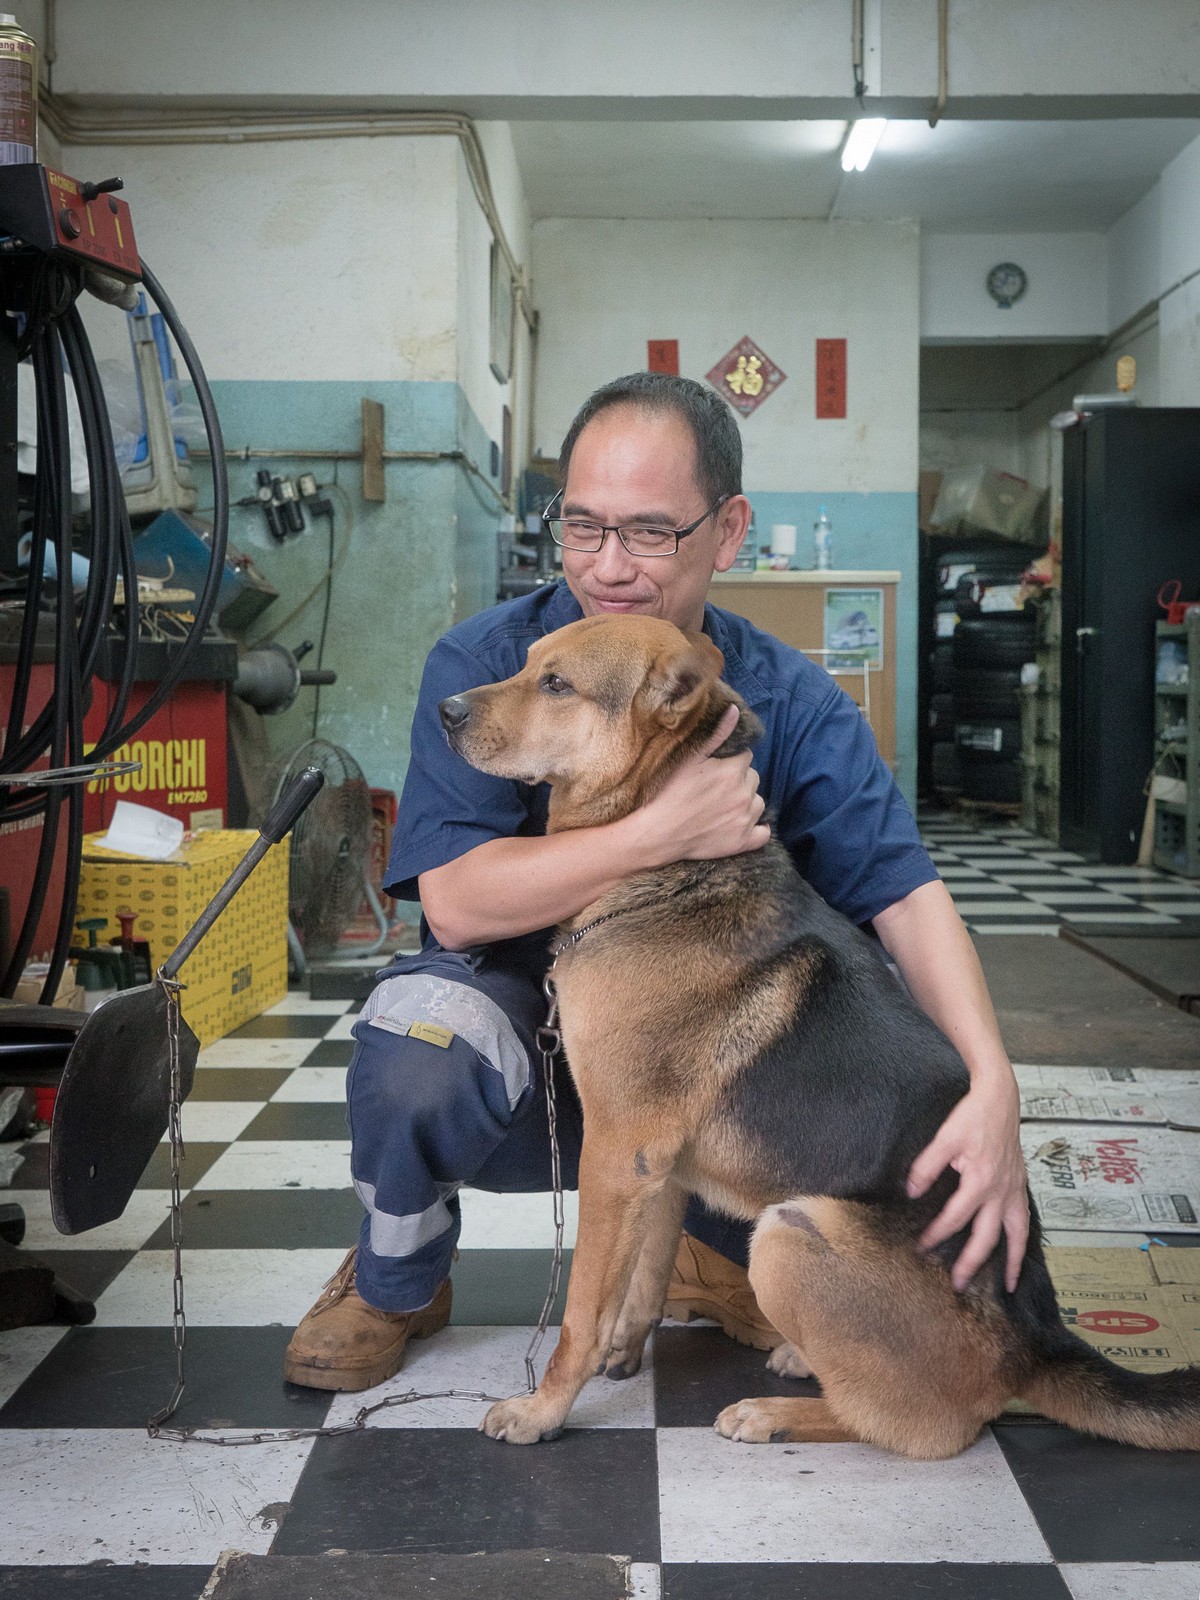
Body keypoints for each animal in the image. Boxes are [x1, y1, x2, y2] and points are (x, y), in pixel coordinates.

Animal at [438, 614, 1200, 1465]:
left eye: (557, 684)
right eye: (527, 663)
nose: (443, 711)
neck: (670, 867)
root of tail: (1035, 1339)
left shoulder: (614, 1153)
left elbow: (578, 1311)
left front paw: (545, 1408)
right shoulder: (654, 1171)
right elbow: (636, 1284)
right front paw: (624, 1355)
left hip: (789, 1230)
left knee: (930, 1427)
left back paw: (775, 1411)